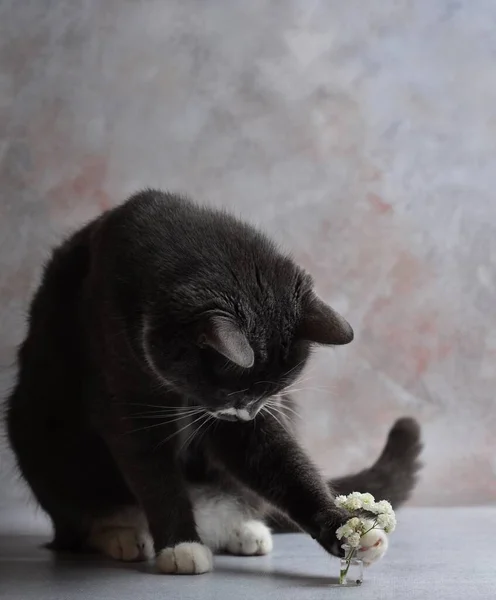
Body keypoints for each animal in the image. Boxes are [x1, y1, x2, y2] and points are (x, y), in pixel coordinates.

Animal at [5, 190, 420, 576]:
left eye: (270, 391)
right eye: (233, 390)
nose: (247, 411)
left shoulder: (243, 420)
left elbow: (279, 460)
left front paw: (348, 531)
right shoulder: (116, 369)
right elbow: (149, 468)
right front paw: (180, 545)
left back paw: (244, 530)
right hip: (42, 434)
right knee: (77, 520)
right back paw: (121, 533)